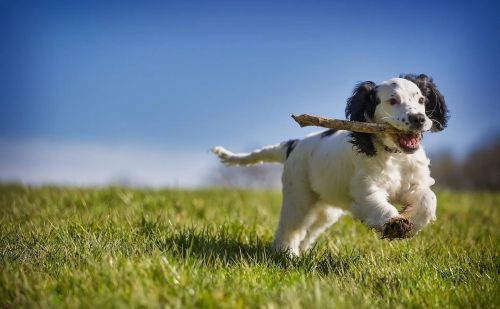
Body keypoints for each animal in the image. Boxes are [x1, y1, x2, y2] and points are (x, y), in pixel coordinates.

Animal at [213, 74, 448, 255]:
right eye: (392, 101)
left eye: (421, 99)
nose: (419, 119)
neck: (394, 155)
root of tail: (294, 144)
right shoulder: (366, 190)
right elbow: (380, 205)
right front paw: (394, 224)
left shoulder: (415, 183)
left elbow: (429, 200)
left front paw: (411, 222)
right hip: (298, 196)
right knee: (290, 228)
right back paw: (286, 254)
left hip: (326, 209)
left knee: (309, 231)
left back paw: (301, 253)